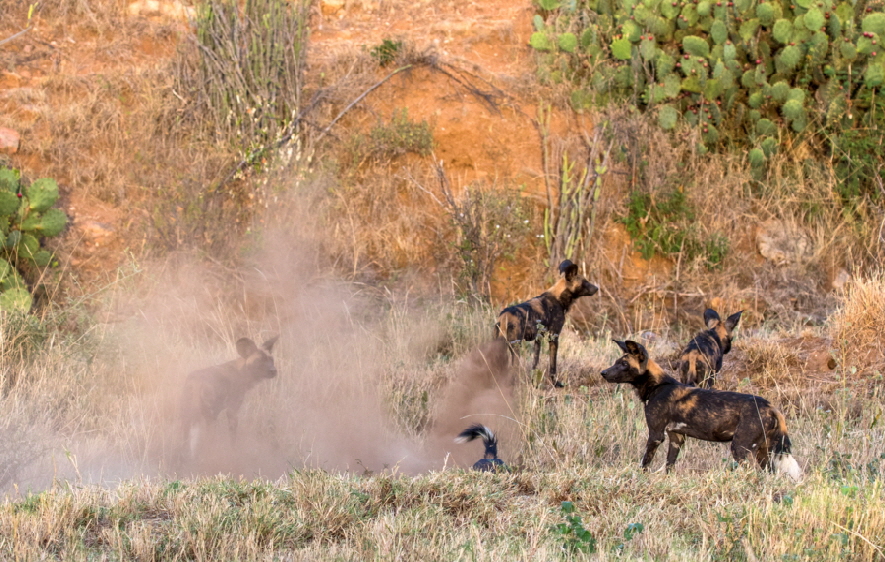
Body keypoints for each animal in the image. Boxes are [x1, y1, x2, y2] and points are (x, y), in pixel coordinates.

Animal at [600, 340, 800, 480]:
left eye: (624, 365)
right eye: (616, 362)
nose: (603, 373)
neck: (657, 386)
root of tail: (772, 407)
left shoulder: (656, 435)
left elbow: (644, 462)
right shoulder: (676, 437)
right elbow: (669, 464)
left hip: (740, 449)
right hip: (763, 453)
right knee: (769, 475)